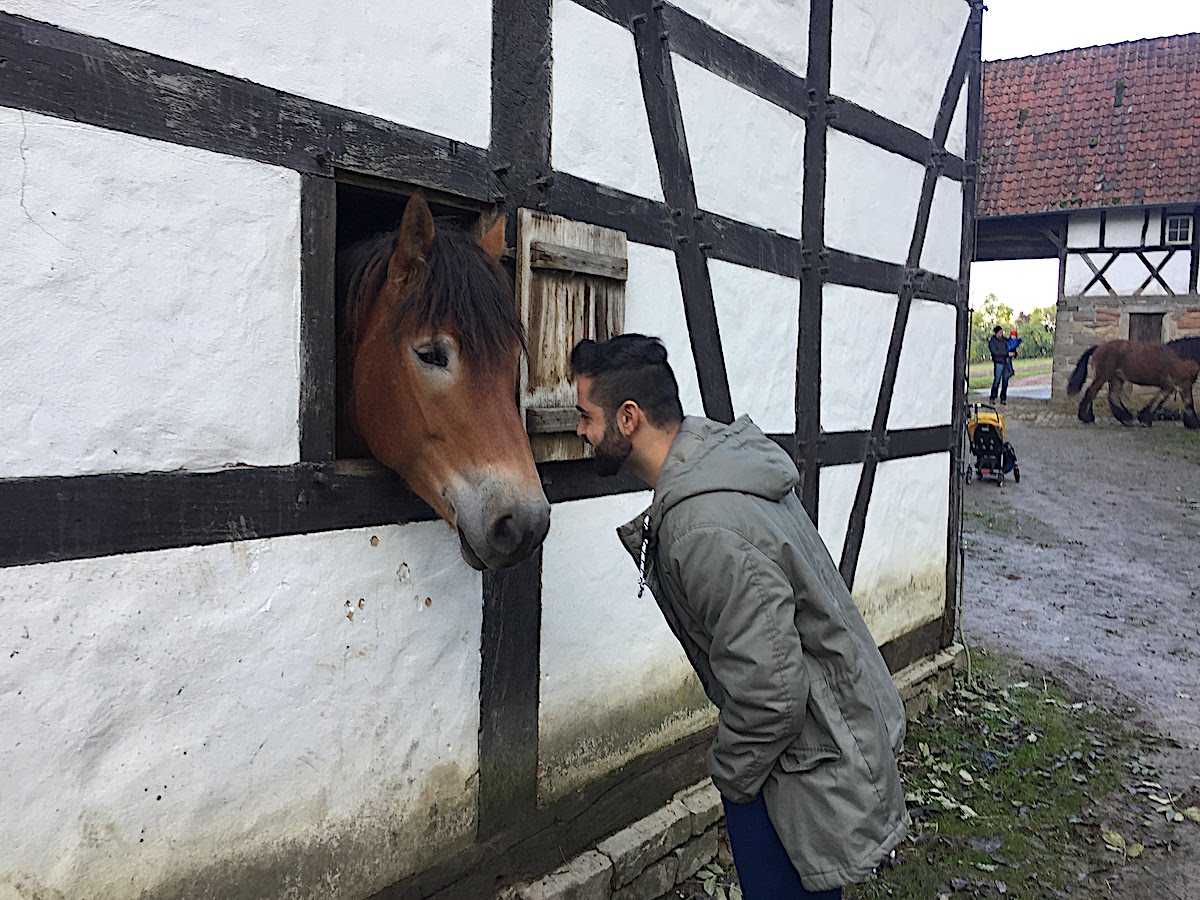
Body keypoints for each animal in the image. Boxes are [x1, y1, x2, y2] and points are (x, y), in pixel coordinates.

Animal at [1070, 340, 1200, 434]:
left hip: (1116, 379)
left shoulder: (1169, 386)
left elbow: (1159, 399)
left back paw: (1126, 419)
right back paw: (1087, 418)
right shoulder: (1183, 384)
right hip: (1102, 377)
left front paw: (1144, 419)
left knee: (1113, 396)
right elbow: (1188, 403)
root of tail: (1099, 347)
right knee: (1091, 392)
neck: (1182, 355)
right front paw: (1195, 424)